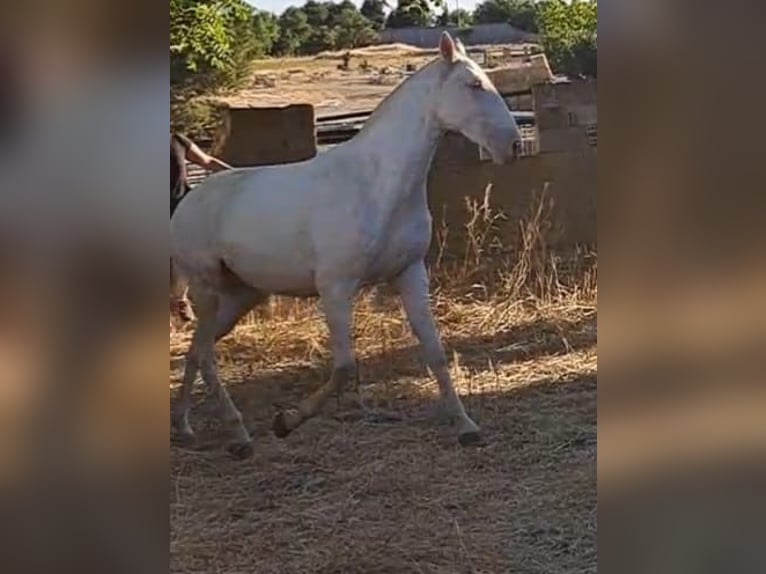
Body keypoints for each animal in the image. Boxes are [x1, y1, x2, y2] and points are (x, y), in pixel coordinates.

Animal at [171, 33, 524, 462]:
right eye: (474, 85)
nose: (513, 146)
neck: (375, 185)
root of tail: (187, 201)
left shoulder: (409, 274)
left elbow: (435, 351)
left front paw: (466, 427)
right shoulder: (336, 288)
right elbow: (343, 368)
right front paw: (285, 422)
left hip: (240, 297)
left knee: (194, 351)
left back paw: (186, 428)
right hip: (206, 290)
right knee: (205, 356)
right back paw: (238, 435)